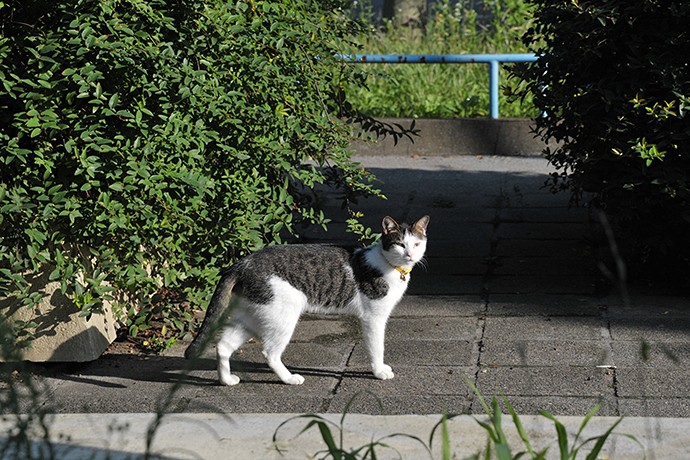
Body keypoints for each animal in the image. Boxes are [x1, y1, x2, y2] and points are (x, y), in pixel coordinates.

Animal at [185, 215, 428, 384]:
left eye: (416, 244)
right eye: (400, 244)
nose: (410, 255)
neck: (390, 266)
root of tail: (242, 263)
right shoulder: (374, 318)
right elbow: (377, 347)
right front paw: (379, 371)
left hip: (250, 317)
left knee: (223, 346)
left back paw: (226, 380)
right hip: (283, 317)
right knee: (270, 353)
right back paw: (290, 378)